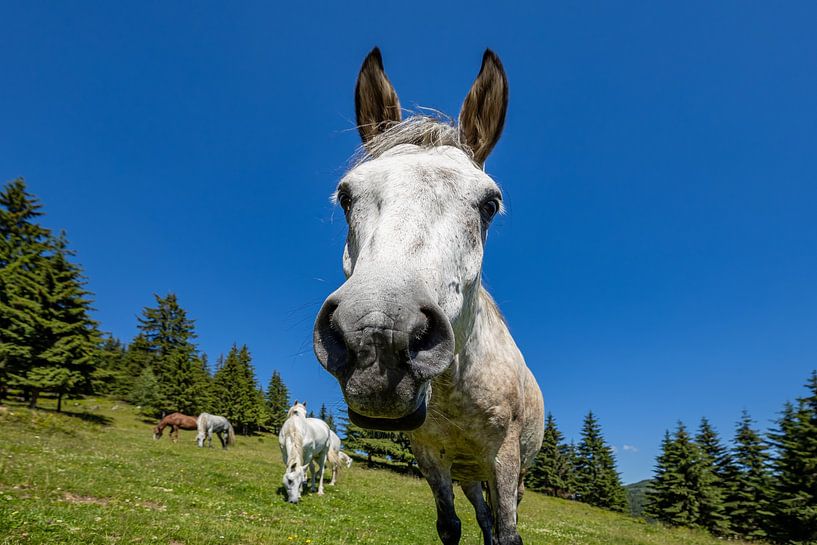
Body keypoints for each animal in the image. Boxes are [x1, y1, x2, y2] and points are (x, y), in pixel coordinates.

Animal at [313, 48, 545, 545]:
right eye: (346, 196)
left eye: (489, 205)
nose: (378, 336)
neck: (460, 391)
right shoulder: (431, 458)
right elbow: (450, 526)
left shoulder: (504, 460)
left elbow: (508, 535)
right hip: (469, 477)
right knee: (481, 518)